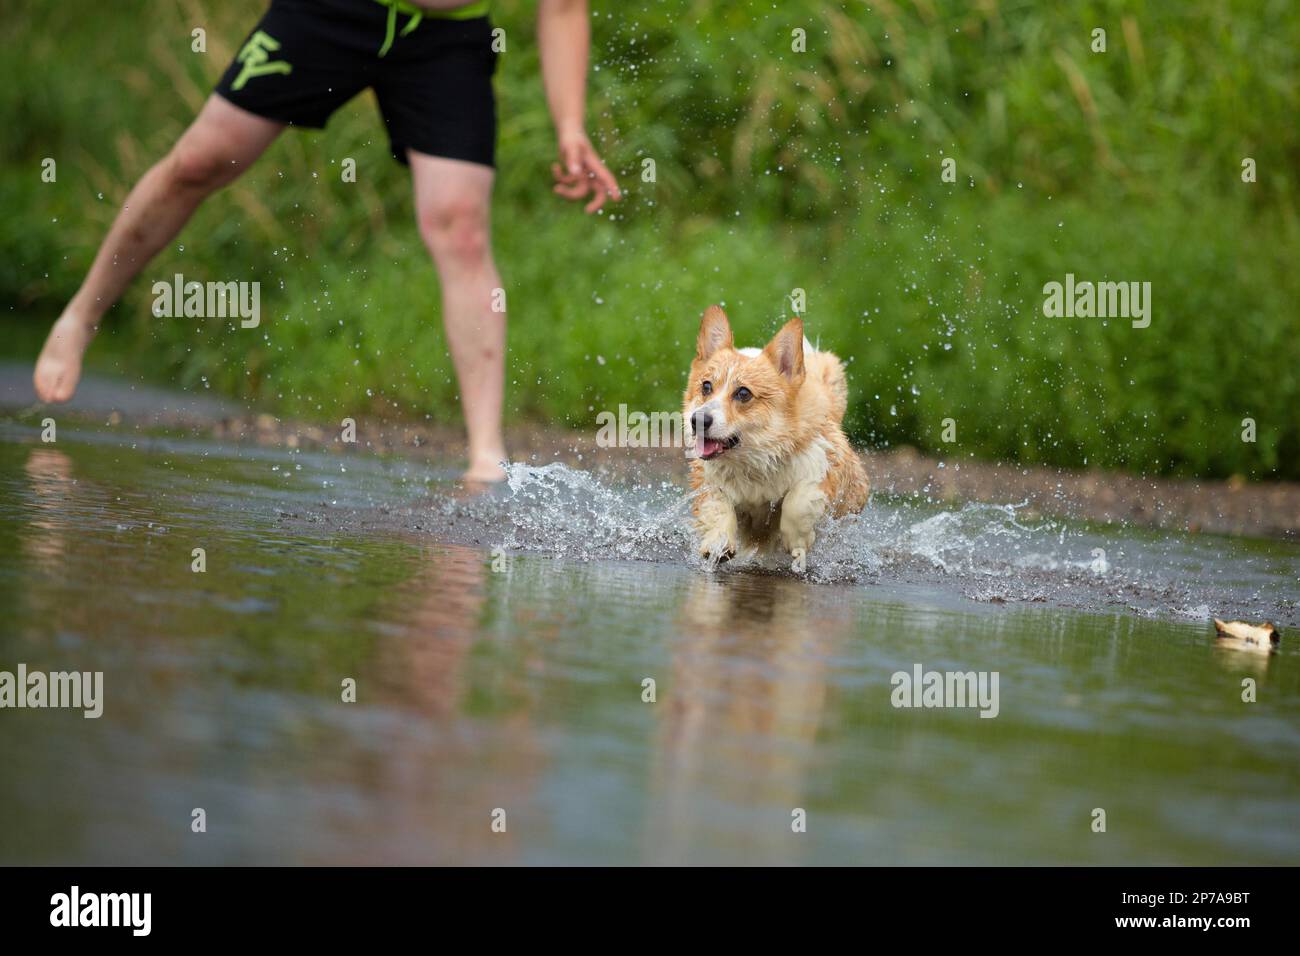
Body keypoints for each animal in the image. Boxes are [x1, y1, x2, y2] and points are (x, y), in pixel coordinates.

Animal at [681, 306, 873, 572]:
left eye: (743, 393)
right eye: (706, 386)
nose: (698, 420)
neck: (754, 460)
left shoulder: (821, 466)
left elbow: (797, 501)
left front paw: (796, 540)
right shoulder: (707, 480)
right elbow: (717, 506)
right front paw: (718, 544)